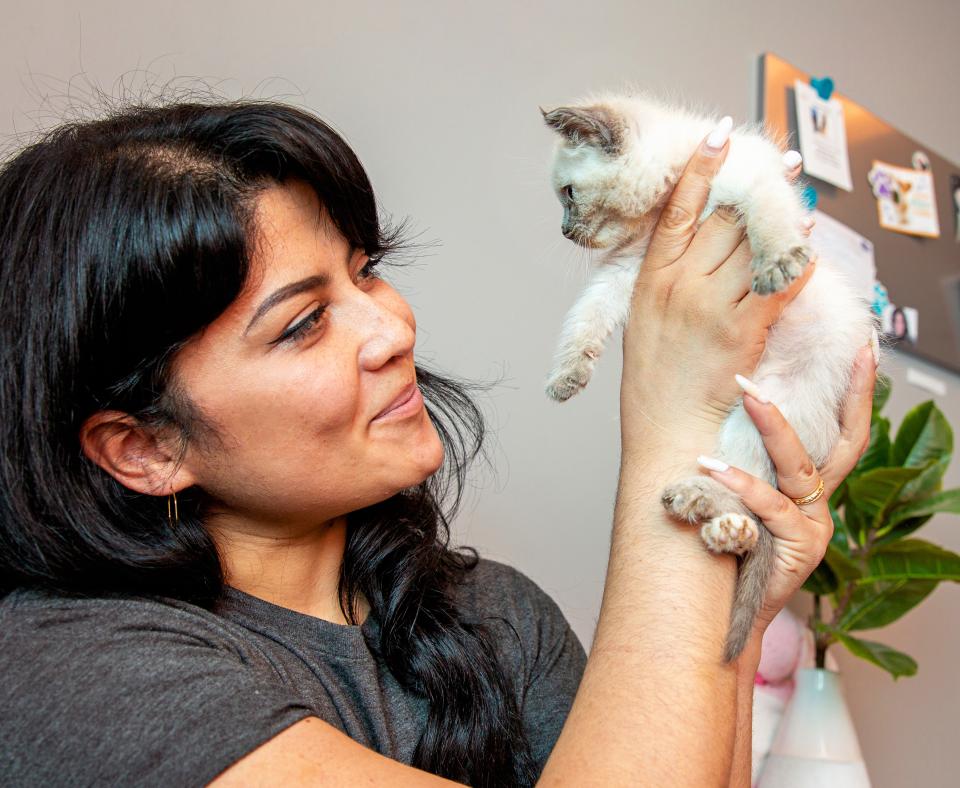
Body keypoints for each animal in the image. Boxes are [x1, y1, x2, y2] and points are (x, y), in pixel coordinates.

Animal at [540, 89, 876, 660]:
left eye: (567, 194)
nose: (563, 231)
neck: (670, 203)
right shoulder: (630, 268)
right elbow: (587, 315)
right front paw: (568, 374)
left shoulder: (754, 183)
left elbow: (769, 219)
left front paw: (779, 264)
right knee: (753, 508)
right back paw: (719, 525)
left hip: (762, 408)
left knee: (752, 494)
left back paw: (703, 506)